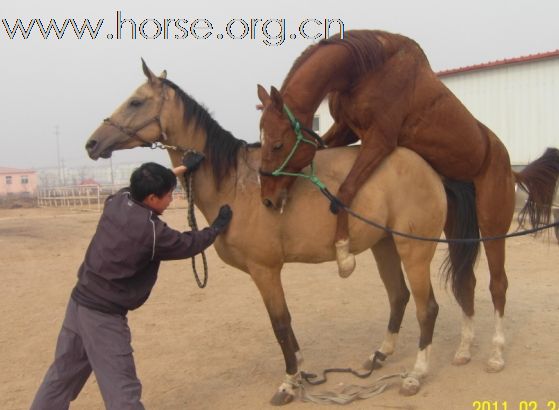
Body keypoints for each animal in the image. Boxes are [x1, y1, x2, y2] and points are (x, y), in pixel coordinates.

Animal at [86, 63, 476, 404]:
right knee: (398, 297)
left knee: (427, 308)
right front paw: (301, 372)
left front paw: (289, 383)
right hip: (384, 245)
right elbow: (287, 328)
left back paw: (416, 374)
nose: (92, 143)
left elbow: (281, 324)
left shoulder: (266, 271)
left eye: (136, 102)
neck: (236, 183)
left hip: (413, 250)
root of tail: (428, 168)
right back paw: (378, 356)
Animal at [258, 28, 559, 374]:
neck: (366, 69)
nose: (267, 199)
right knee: (466, 282)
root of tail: (507, 165)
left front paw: (344, 254)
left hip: (493, 223)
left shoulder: (379, 139)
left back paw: (496, 354)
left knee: (498, 284)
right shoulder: (347, 129)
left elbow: (345, 192)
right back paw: (463, 350)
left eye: (278, 144)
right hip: (457, 227)